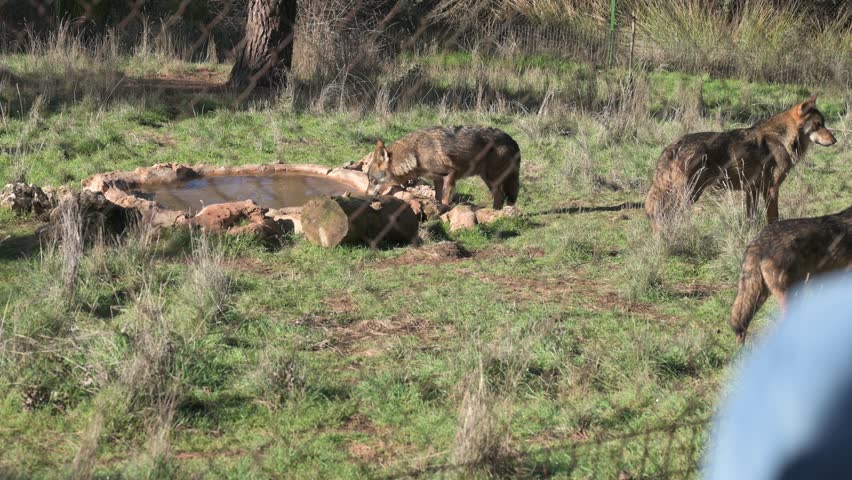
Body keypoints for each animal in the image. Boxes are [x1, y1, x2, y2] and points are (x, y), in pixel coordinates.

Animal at [367, 126, 521, 209]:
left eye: (372, 180)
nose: (367, 195)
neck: (416, 153)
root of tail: (512, 140)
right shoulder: (438, 179)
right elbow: (438, 197)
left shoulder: (450, 173)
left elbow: (446, 201)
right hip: (489, 179)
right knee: (500, 197)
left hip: (492, 179)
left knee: (500, 197)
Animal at [645, 95, 836, 230]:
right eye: (817, 125)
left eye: (824, 123)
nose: (835, 140)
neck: (782, 139)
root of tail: (673, 146)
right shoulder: (771, 189)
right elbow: (773, 218)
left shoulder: (752, 190)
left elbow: (751, 217)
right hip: (688, 195)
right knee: (666, 215)